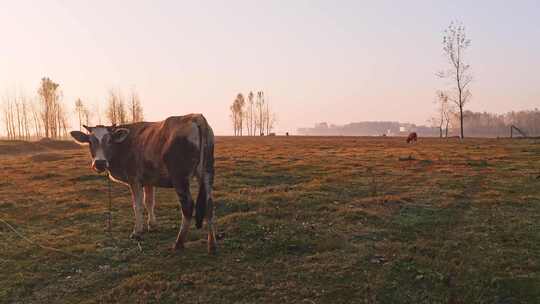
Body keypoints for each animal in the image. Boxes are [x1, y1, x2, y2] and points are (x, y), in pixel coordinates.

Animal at [70, 114, 217, 254]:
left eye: (109, 141)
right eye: (90, 142)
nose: (99, 163)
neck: (123, 145)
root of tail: (196, 117)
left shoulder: (134, 179)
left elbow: (138, 205)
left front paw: (137, 231)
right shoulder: (149, 181)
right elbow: (149, 202)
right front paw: (152, 225)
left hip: (180, 178)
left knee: (187, 206)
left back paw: (179, 243)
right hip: (207, 172)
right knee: (209, 205)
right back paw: (212, 245)